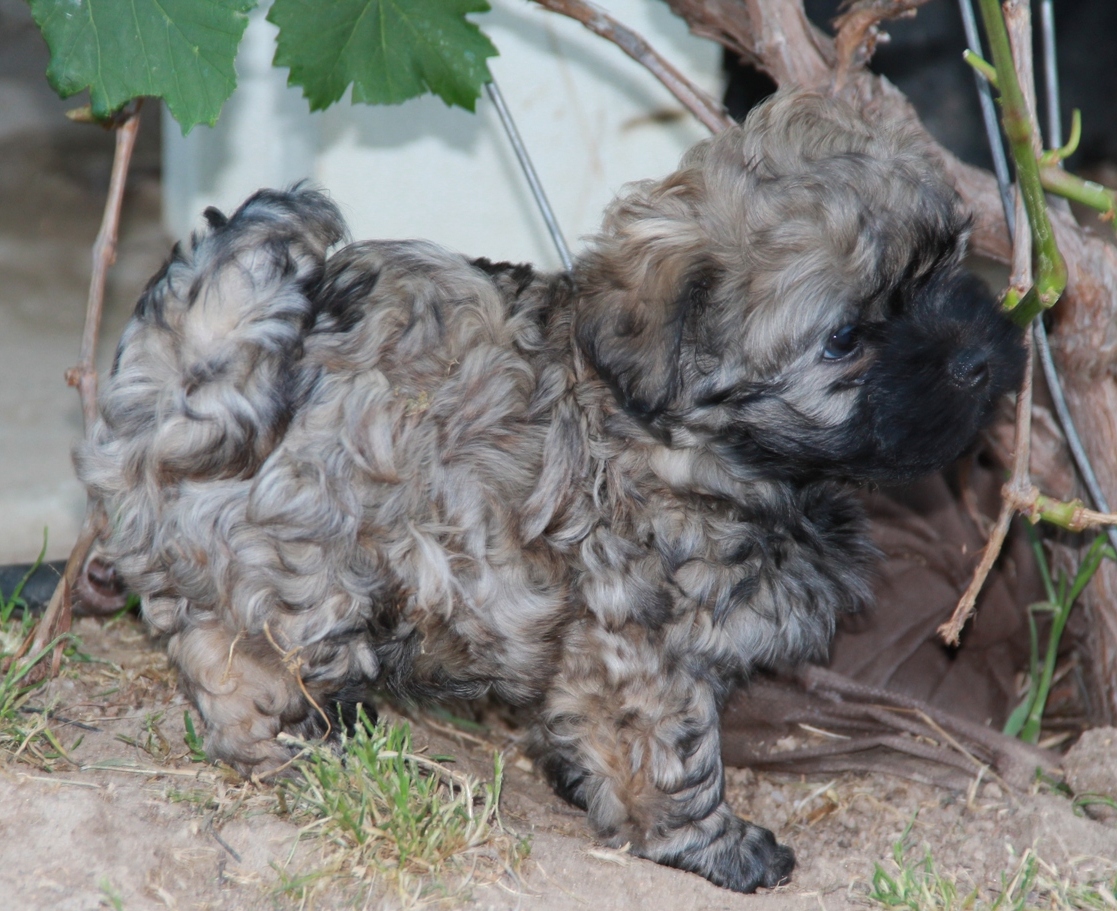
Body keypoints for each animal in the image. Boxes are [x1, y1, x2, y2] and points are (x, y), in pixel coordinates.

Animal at [76, 90, 1023, 888]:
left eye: (945, 270)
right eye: (843, 339)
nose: (979, 358)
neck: (708, 445)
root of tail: (184, 363)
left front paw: (582, 780)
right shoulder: (641, 645)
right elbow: (677, 750)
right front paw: (712, 844)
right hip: (310, 577)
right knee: (245, 670)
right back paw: (301, 752)